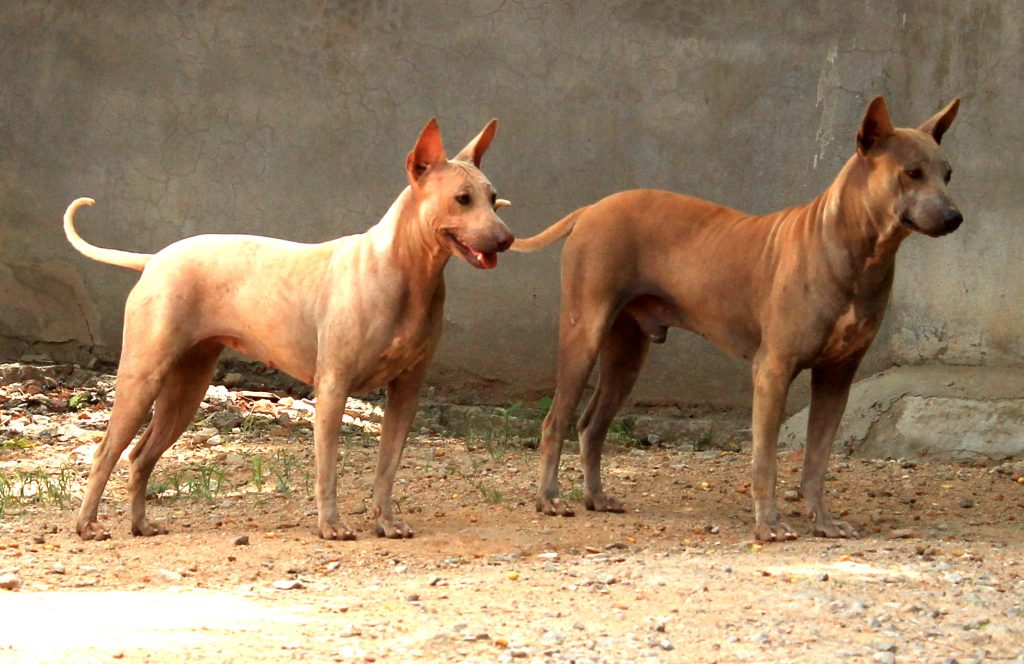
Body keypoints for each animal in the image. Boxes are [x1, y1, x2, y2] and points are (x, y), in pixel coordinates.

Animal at [62, 119, 512, 541]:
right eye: (462, 199)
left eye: (493, 199)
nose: (507, 239)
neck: (405, 272)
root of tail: (154, 258)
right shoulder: (333, 388)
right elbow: (327, 469)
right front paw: (331, 525)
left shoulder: (406, 393)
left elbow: (387, 468)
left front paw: (385, 521)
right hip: (142, 378)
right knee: (105, 452)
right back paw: (87, 525)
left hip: (185, 389)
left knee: (140, 457)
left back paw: (141, 524)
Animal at [516, 99, 962, 545]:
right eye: (912, 172)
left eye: (947, 173)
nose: (955, 217)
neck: (850, 249)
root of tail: (591, 209)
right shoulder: (772, 371)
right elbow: (765, 460)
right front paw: (769, 524)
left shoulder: (837, 377)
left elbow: (817, 460)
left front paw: (824, 521)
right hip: (584, 336)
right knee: (555, 421)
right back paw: (549, 498)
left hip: (626, 354)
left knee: (591, 425)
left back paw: (596, 497)